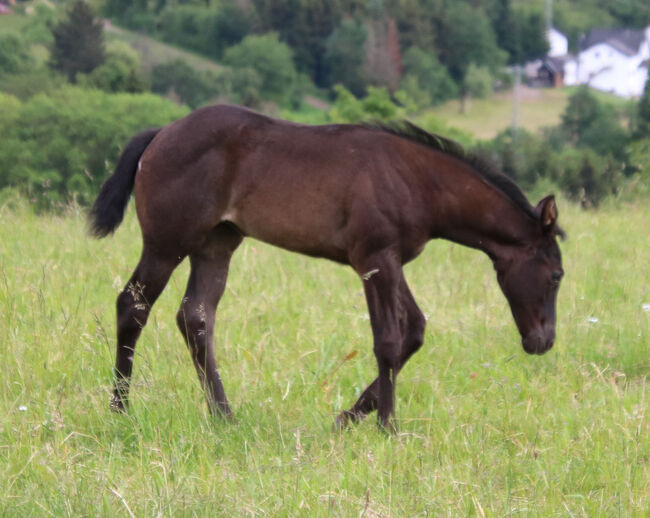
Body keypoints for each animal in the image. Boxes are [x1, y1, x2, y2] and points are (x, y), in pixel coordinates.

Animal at [90, 104, 560, 430]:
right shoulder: (374, 260)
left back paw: (224, 417)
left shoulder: (391, 261)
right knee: (132, 306)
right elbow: (388, 340)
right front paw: (387, 427)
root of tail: (160, 134)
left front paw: (348, 418)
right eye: (556, 275)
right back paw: (120, 409)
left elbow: (413, 330)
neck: (416, 182)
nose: (543, 341)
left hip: (215, 244)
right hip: (167, 243)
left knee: (196, 316)